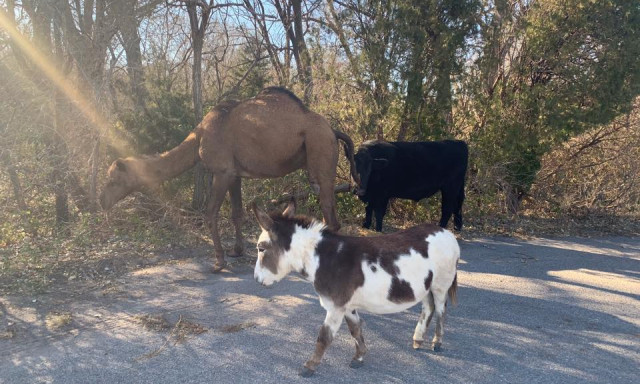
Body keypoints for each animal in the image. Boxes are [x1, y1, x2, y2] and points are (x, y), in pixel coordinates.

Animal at [100, 87, 360, 272]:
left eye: (113, 180)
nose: (101, 202)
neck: (199, 137)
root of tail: (333, 130)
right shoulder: (235, 175)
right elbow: (237, 212)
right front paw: (236, 251)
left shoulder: (222, 172)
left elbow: (210, 213)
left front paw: (219, 261)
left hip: (319, 154)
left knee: (328, 214)